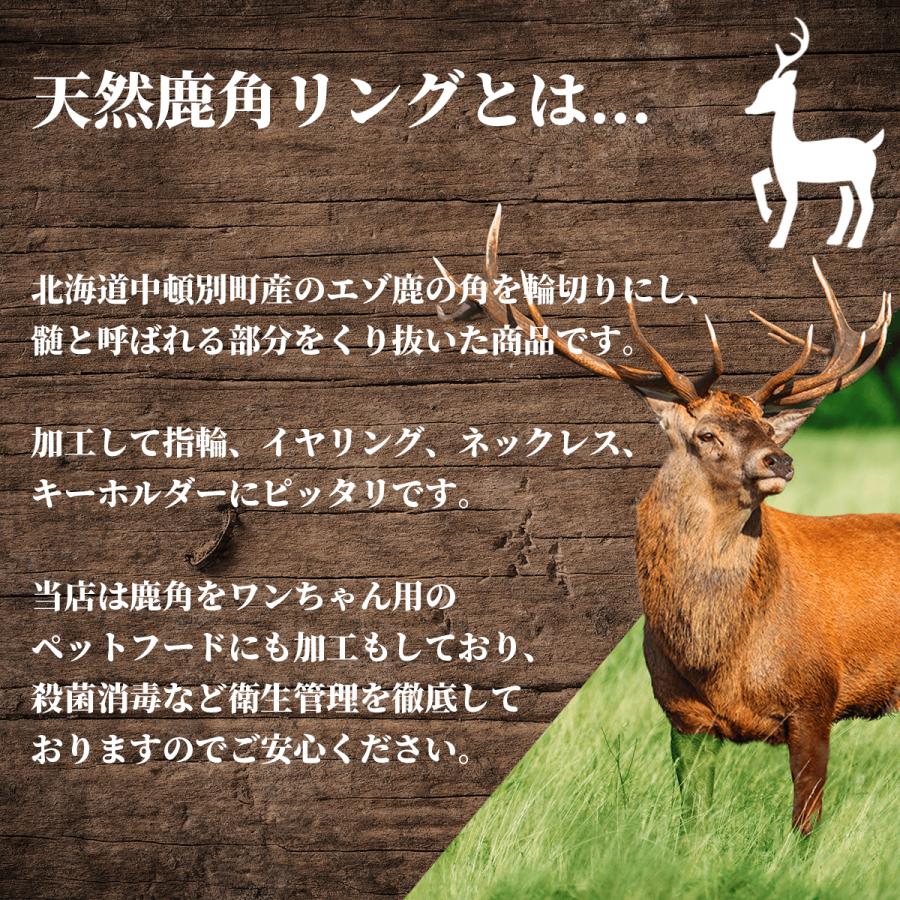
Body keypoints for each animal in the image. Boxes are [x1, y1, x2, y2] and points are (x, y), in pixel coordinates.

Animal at [434, 206, 898, 834]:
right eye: (707, 435)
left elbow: (805, 828)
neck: (718, 657)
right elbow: (691, 824)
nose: (779, 459)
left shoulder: (814, 698)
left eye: (766, 427)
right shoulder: (683, 718)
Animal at [745, 17, 884, 250]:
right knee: (848, 203)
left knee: (869, 204)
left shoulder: (789, 177)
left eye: (770, 90)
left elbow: (791, 203)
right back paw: (835, 239)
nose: (749, 109)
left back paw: (854, 242)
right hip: (843, 181)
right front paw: (767, 214)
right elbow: (757, 178)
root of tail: (869, 145)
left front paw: (777, 241)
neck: (788, 145)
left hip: (862, 177)